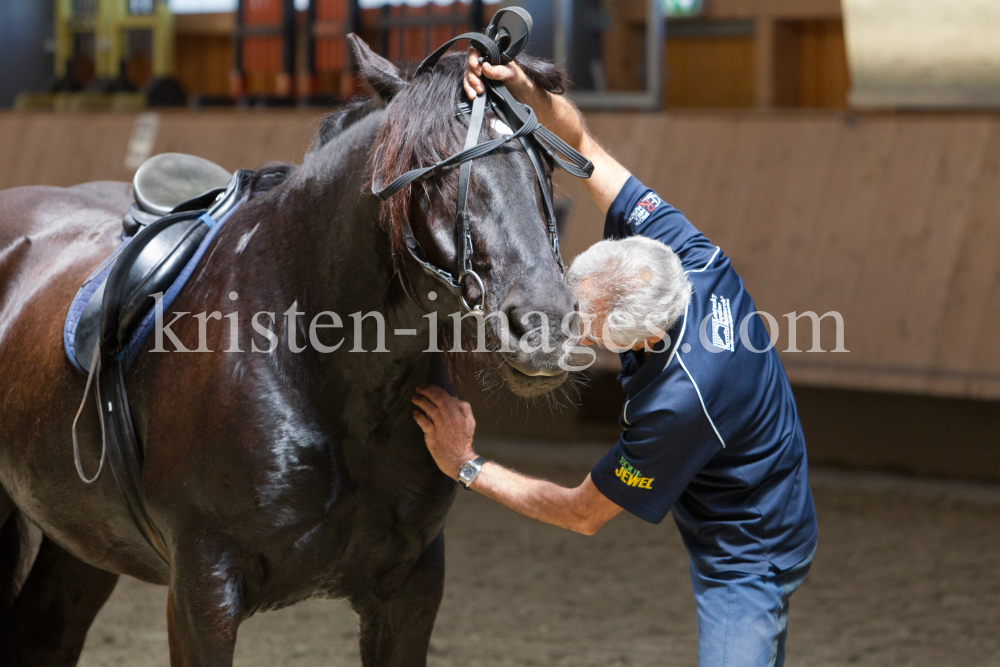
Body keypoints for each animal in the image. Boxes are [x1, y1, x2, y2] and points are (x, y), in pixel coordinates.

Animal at [0, 37, 576, 667]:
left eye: (545, 165)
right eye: (435, 168)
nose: (545, 321)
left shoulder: (411, 589)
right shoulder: (202, 589)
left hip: (83, 542)